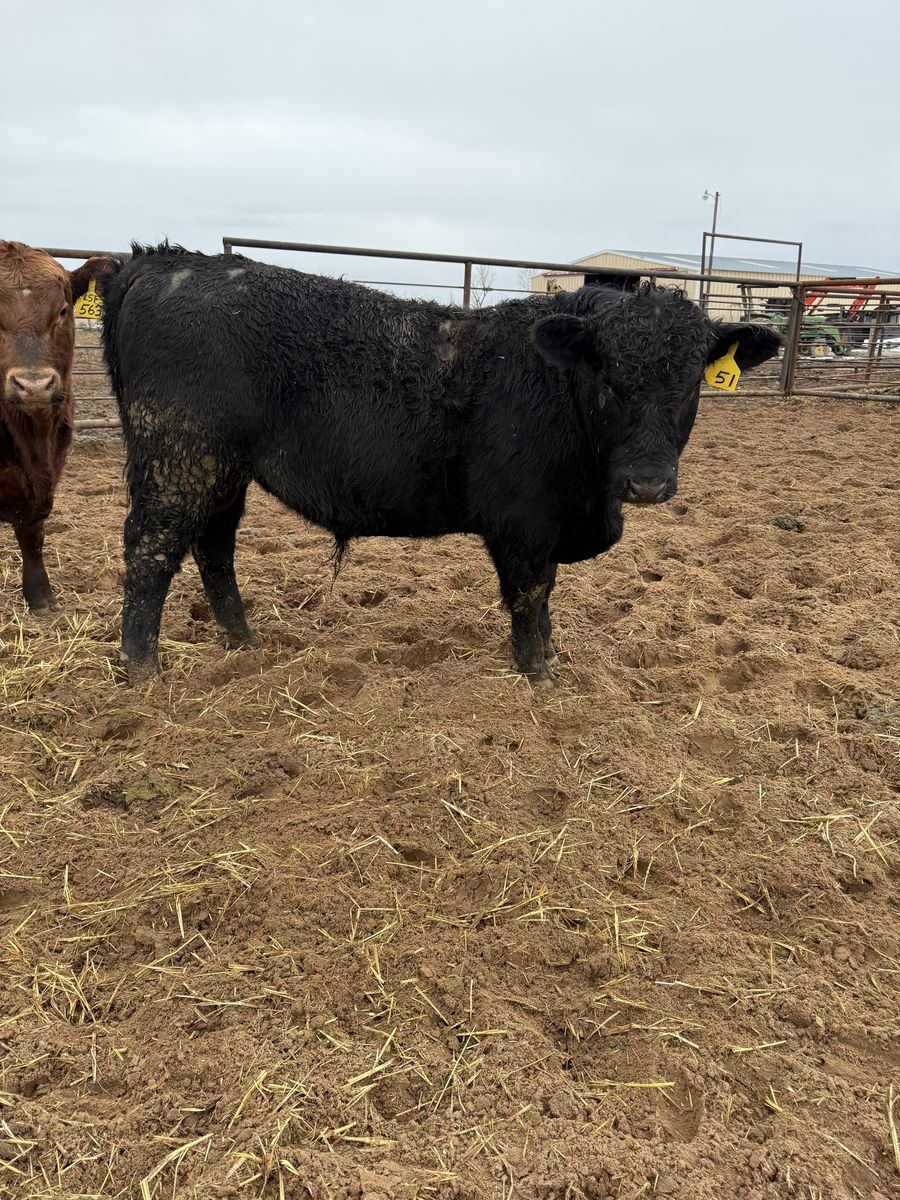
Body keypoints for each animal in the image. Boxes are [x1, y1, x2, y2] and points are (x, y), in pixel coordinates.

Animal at [100, 243, 782, 685]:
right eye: (609, 381)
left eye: (692, 384)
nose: (646, 482)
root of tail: (167, 260)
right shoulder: (524, 524)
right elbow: (531, 596)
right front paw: (539, 674)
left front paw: (549, 658)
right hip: (178, 459)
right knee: (151, 550)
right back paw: (142, 669)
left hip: (222, 472)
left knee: (213, 547)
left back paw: (244, 643)